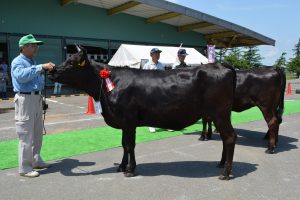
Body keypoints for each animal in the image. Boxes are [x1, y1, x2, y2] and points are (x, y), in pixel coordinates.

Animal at [48, 46, 237, 180]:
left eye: (72, 62)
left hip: (220, 113)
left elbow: (129, 144)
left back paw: (226, 173)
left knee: (229, 137)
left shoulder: (128, 119)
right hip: (219, 115)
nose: (51, 70)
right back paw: (221, 164)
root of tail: (222, 65)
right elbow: (123, 144)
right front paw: (121, 166)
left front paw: (130, 170)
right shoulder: (122, 121)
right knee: (225, 138)